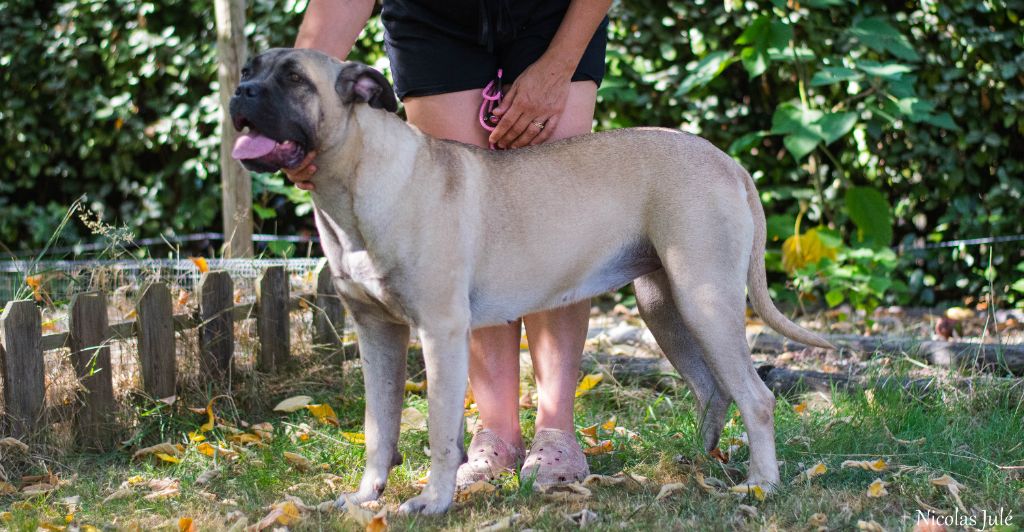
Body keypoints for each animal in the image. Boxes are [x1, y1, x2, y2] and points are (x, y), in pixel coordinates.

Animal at [229, 48, 834, 515]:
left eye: (294, 79)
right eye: (249, 69)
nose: (241, 92)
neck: (356, 182)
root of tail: (728, 162)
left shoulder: (441, 333)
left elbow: (439, 433)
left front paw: (433, 502)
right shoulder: (378, 334)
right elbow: (380, 429)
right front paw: (364, 498)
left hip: (704, 299)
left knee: (755, 396)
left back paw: (761, 484)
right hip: (665, 303)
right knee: (713, 388)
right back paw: (698, 463)